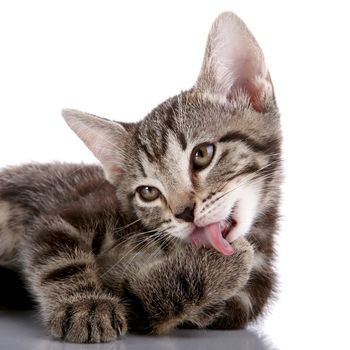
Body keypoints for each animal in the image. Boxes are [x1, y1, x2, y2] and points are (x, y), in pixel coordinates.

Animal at [0, 12, 282, 344]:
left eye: (202, 154)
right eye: (148, 192)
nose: (184, 212)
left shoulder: (237, 304)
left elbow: (145, 301)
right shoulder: (66, 215)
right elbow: (59, 257)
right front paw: (85, 305)